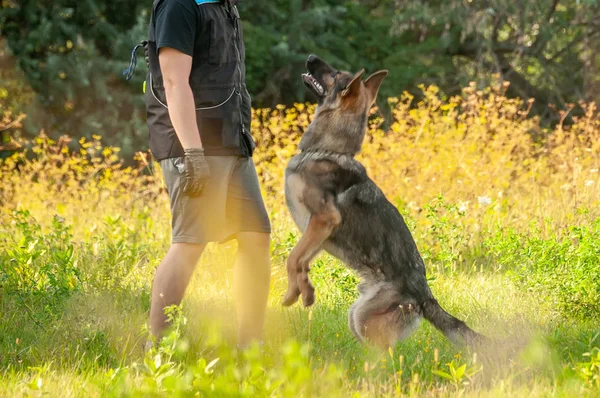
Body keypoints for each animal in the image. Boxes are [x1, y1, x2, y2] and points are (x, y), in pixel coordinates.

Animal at [284, 55, 486, 348]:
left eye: (334, 73)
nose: (310, 58)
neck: (328, 150)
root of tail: (425, 296)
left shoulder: (324, 220)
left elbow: (292, 258)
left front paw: (293, 294)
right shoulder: (316, 232)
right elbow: (301, 260)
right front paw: (306, 291)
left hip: (363, 319)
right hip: (358, 314)